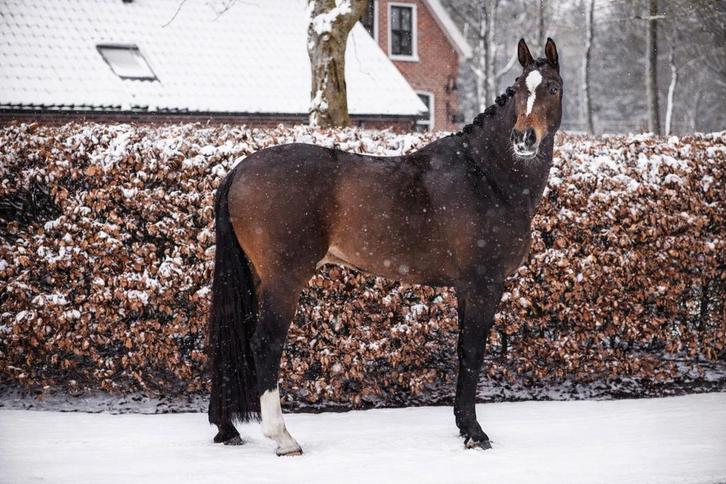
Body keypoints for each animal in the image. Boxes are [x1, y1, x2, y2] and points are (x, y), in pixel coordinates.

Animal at [207, 38, 563, 455]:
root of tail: (239, 170)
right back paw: (283, 438)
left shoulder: (466, 288)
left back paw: (227, 428)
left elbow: (463, 351)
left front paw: (464, 426)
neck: (486, 175)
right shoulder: (483, 285)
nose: (524, 139)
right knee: (265, 345)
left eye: (552, 88)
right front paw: (476, 434)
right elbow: (473, 353)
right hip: (284, 280)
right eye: (521, 89)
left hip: (256, 277)